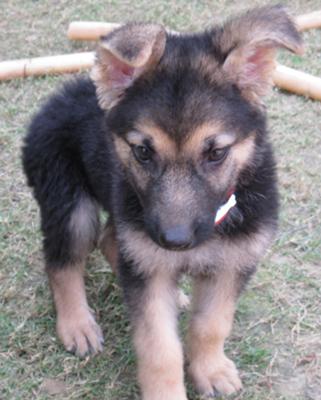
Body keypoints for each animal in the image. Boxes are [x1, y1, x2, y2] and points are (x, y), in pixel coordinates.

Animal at [23, 6, 302, 400]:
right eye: (143, 151)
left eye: (216, 153)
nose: (175, 242)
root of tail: (60, 96)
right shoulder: (148, 267)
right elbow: (160, 348)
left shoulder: (230, 263)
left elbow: (211, 324)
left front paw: (210, 369)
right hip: (69, 203)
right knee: (62, 263)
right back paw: (77, 324)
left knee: (110, 240)